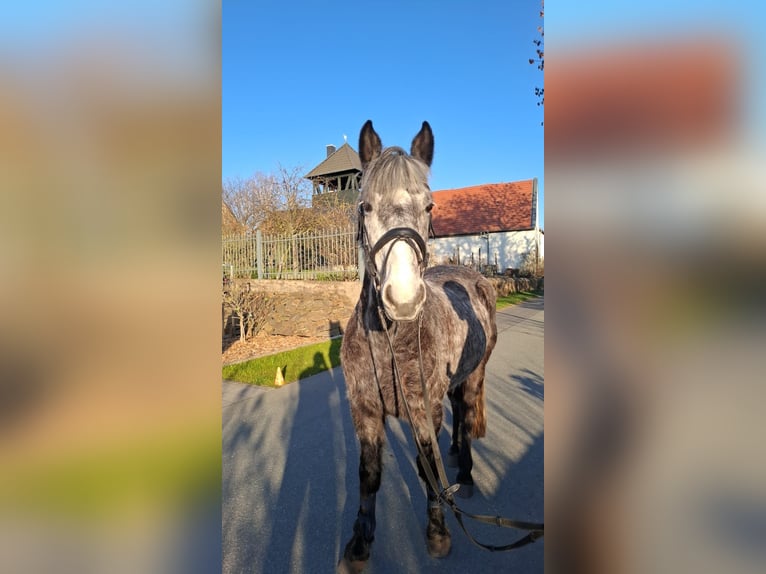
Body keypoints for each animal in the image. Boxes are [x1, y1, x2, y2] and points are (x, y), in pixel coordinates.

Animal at [338, 120, 498, 572]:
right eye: (365, 206)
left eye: (429, 207)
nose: (404, 298)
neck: (391, 342)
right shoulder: (365, 409)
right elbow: (369, 473)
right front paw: (360, 542)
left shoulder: (425, 409)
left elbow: (427, 468)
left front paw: (438, 532)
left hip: (473, 376)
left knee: (465, 413)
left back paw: (464, 474)